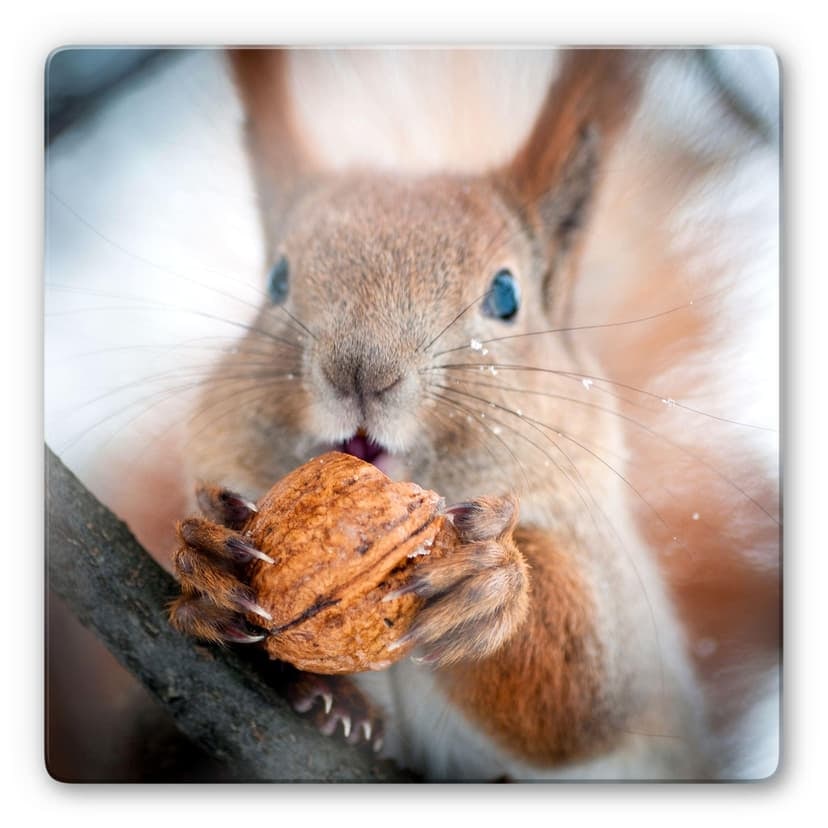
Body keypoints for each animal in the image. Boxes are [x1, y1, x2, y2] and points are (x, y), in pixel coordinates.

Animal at [150, 48, 779, 781]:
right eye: (276, 281)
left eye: (506, 295)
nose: (360, 372)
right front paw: (209, 565)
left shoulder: (622, 603)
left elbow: (584, 701)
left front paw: (489, 586)